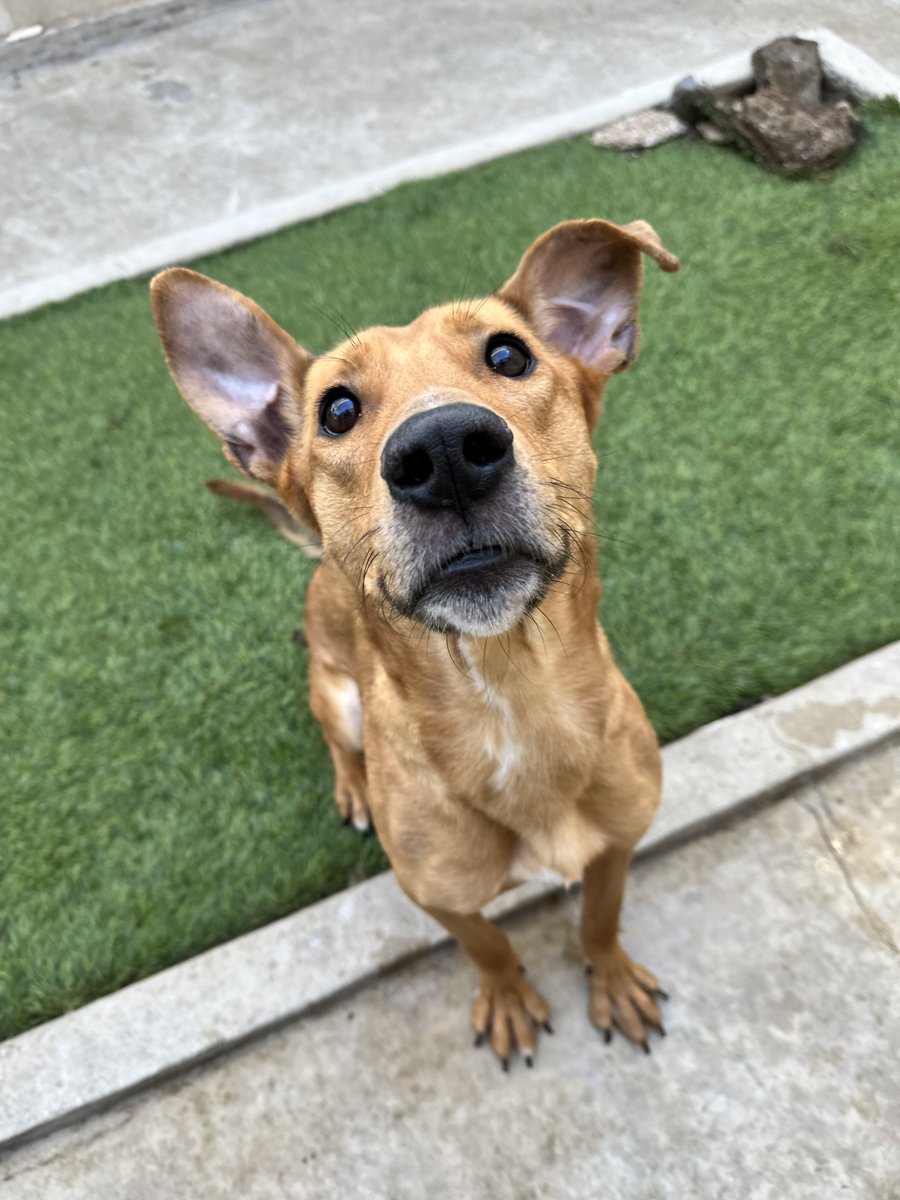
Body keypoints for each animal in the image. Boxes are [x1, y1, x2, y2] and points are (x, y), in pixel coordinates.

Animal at [151, 220, 681, 1075]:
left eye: (509, 356)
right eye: (336, 409)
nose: (445, 451)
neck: (514, 701)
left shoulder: (619, 846)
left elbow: (600, 918)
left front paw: (611, 977)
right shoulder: (437, 896)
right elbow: (489, 944)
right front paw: (508, 997)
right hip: (334, 692)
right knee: (338, 740)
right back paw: (355, 787)